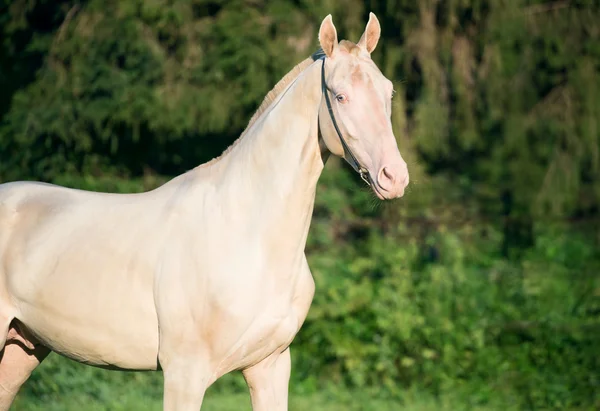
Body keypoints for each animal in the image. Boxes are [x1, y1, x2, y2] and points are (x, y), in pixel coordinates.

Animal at [0, 12, 408, 411]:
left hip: (22, 348)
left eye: (388, 90)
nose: (394, 176)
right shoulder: (184, 375)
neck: (248, 234)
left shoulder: (270, 367)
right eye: (339, 95)